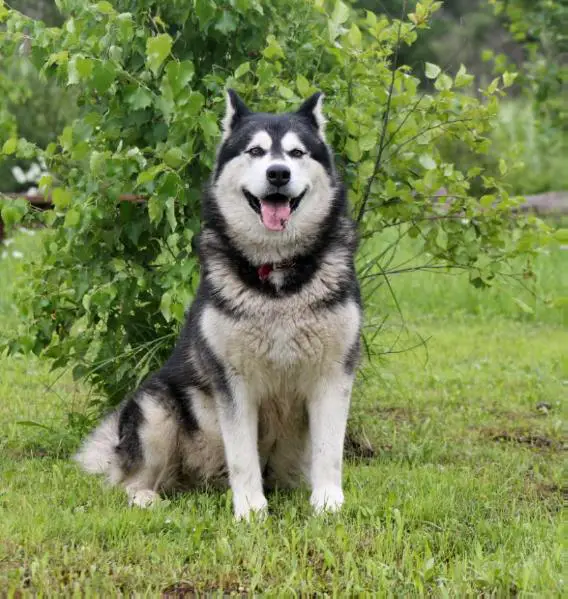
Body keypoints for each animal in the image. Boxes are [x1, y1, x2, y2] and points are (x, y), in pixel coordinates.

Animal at [74, 89, 360, 520]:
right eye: (256, 150)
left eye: (296, 153)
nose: (278, 173)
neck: (276, 276)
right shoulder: (232, 381)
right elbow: (242, 457)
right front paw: (251, 510)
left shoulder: (333, 374)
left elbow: (330, 452)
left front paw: (328, 503)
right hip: (155, 409)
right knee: (129, 481)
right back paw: (147, 497)